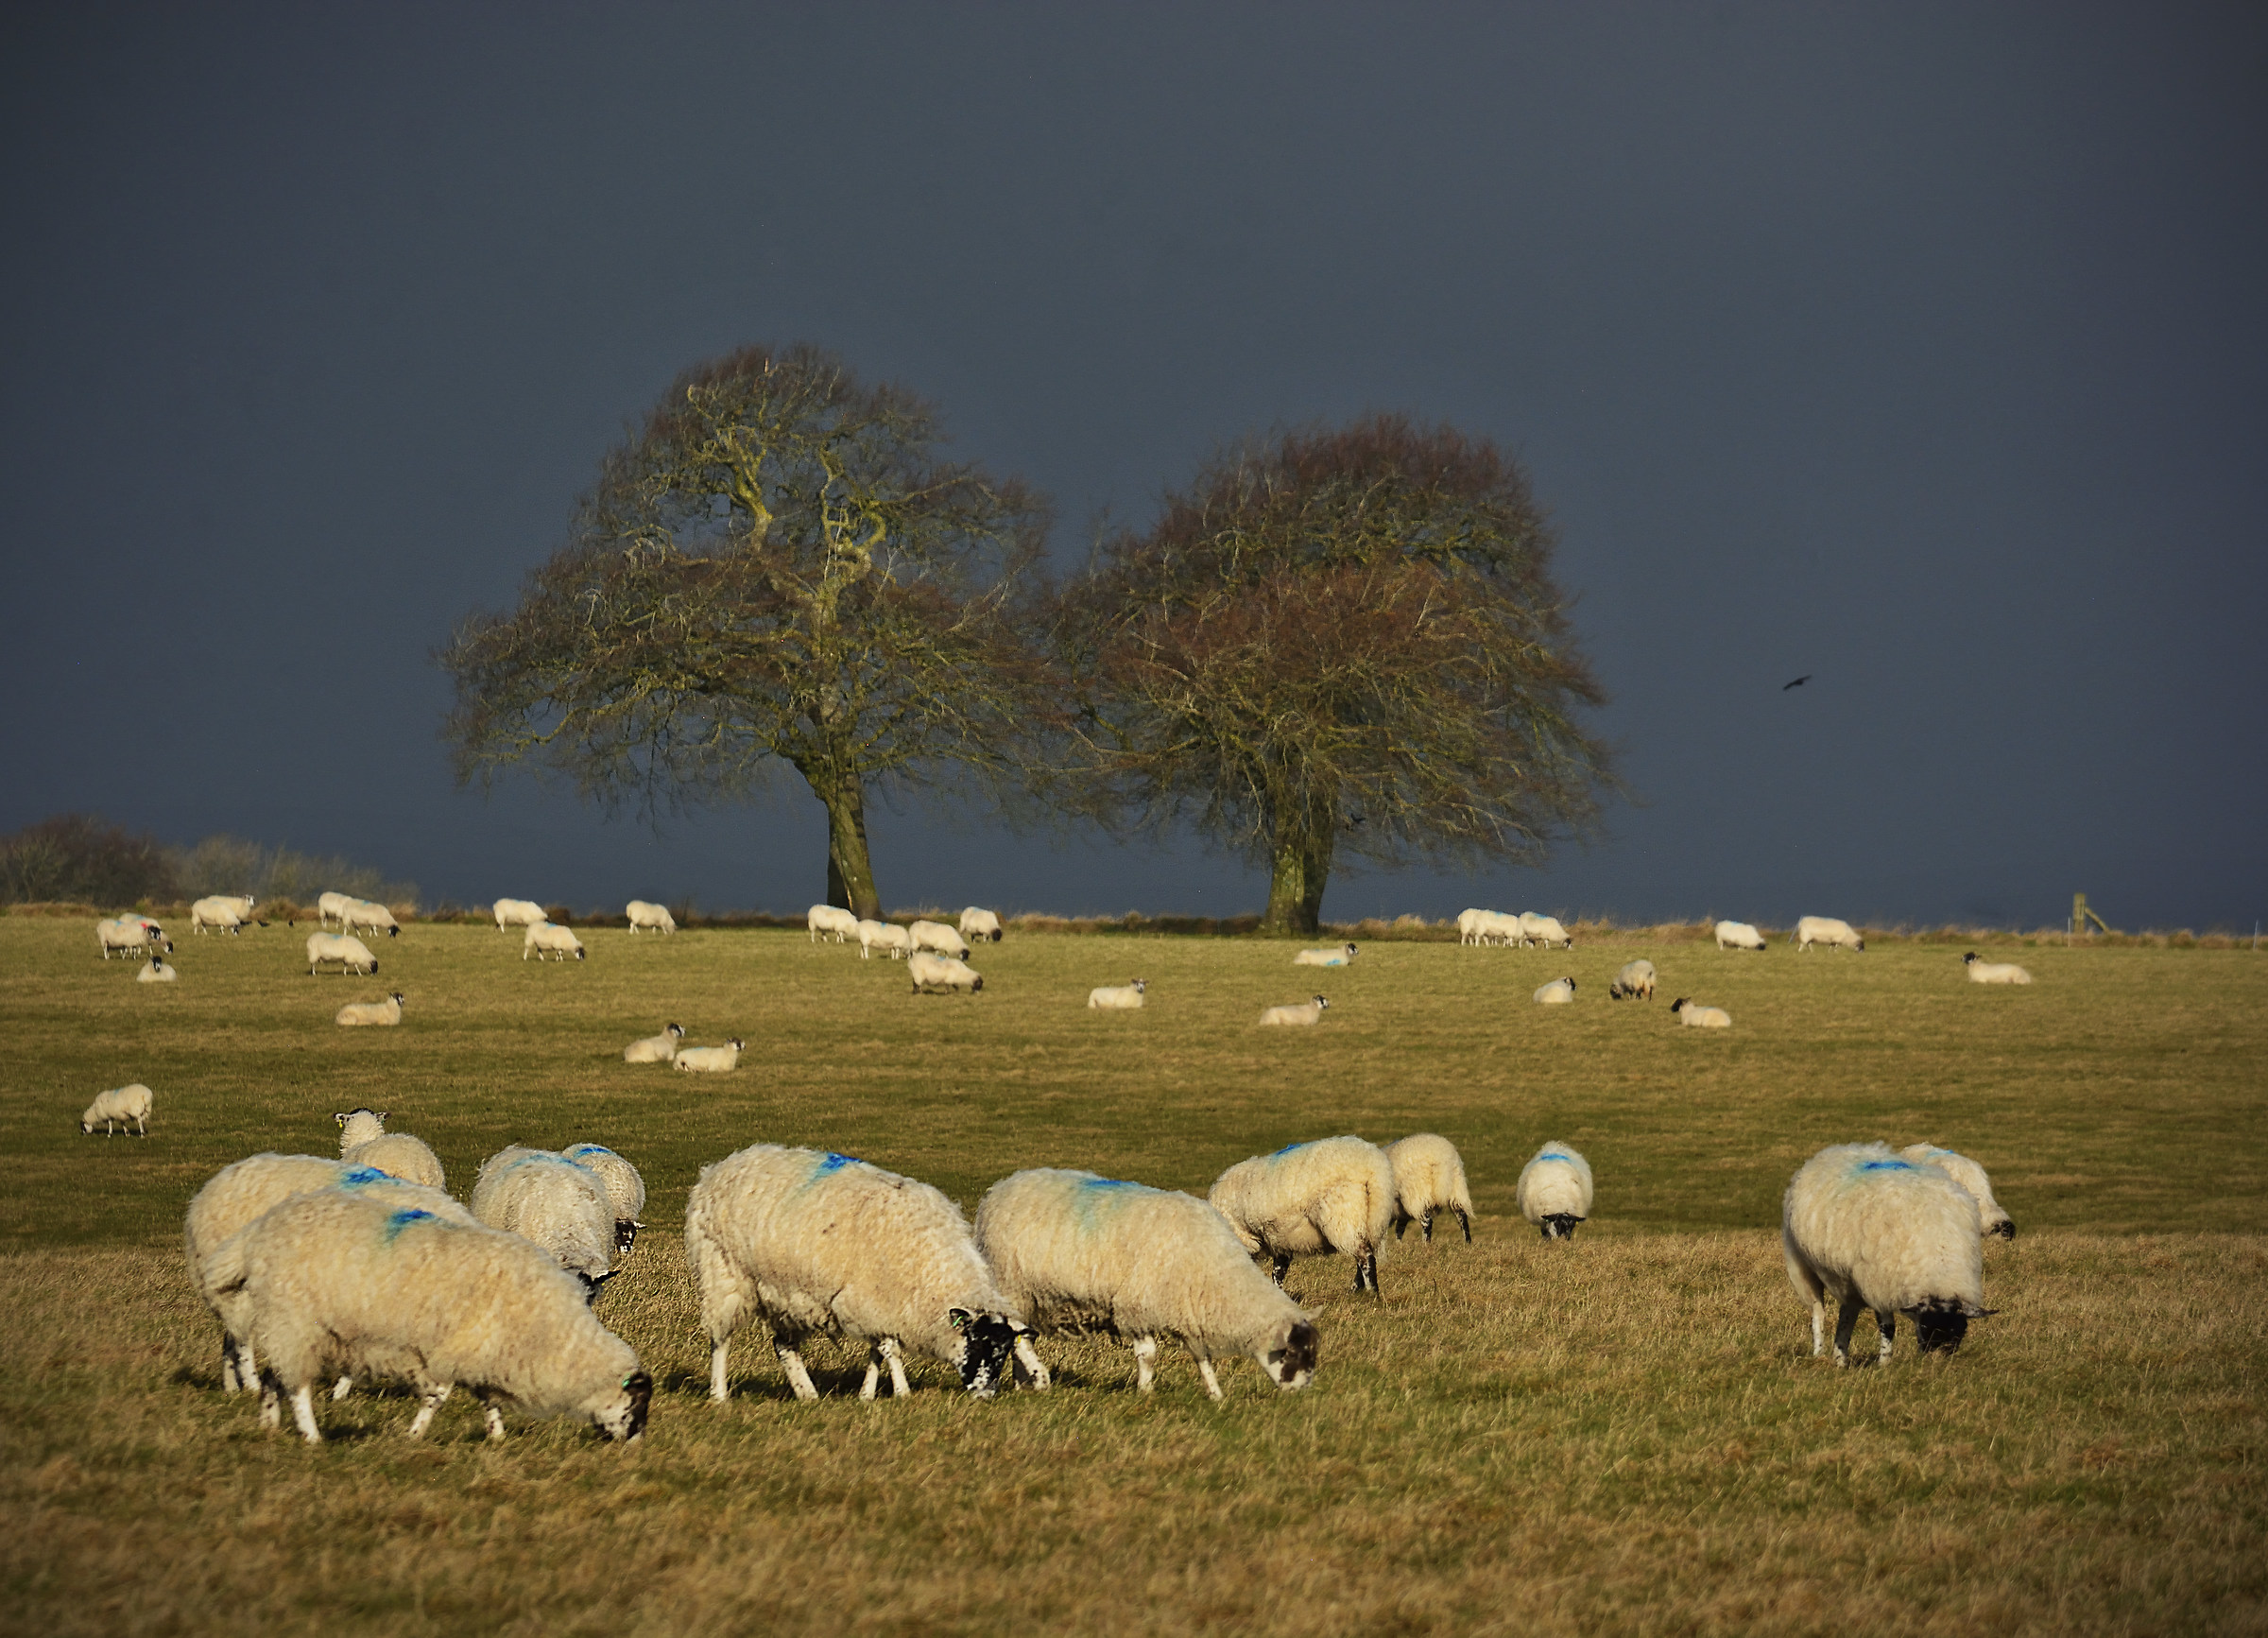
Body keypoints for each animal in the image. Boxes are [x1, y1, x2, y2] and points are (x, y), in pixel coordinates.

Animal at [199, 1187, 650, 1444]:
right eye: (636, 1406)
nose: (635, 1446)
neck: (551, 1333)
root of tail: (261, 1230)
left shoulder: (479, 1349)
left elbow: (486, 1398)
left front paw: (496, 1437)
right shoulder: (455, 1347)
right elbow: (438, 1396)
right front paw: (415, 1435)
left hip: (295, 1327)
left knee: (277, 1375)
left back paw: (269, 1424)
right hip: (294, 1319)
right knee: (295, 1386)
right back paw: (311, 1436)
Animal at [686, 1142, 1033, 1402]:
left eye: (1004, 1353)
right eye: (978, 1343)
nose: (985, 1395)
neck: (932, 1271)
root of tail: (719, 1168)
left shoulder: (878, 1306)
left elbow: (877, 1350)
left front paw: (867, 1394)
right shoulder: (867, 1297)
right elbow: (889, 1349)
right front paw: (902, 1392)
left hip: (786, 1293)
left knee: (783, 1346)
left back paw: (807, 1394)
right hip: (724, 1272)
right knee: (720, 1338)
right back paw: (719, 1395)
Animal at [974, 1169, 1319, 1400]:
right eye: (1292, 1353)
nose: (1301, 1392)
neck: (1217, 1272)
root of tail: (1000, 1189)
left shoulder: (1186, 1308)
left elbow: (1201, 1356)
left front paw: (1215, 1394)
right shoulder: (1137, 1305)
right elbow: (1148, 1354)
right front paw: (1146, 1392)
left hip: (1026, 1293)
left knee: (1019, 1334)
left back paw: (1023, 1382)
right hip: (1012, 1282)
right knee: (1017, 1333)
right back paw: (1040, 1378)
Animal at [1208, 1135, 1396, 1294]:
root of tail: (1373, 1167)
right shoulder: (1279, 1240)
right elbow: (1279, 1270)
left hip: (1343, 1215)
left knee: (1365, 1256)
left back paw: (1371, 1294)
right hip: (1367, 1218)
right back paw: (1357, 1291)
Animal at [1783, 1142, 1993, 1365]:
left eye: (1960, 1330)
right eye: (1926, 1326)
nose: (1935, 1361)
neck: (1939, 1258)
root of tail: (1835, 1149)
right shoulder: (1879, 1284)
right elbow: (1888, 1327)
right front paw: (1884, 1363)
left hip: (1850, 1279)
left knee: (1847, 1313)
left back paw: (1840, 1358)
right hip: (1803, 1267)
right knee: (1818, 1312)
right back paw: (1819, 1352)